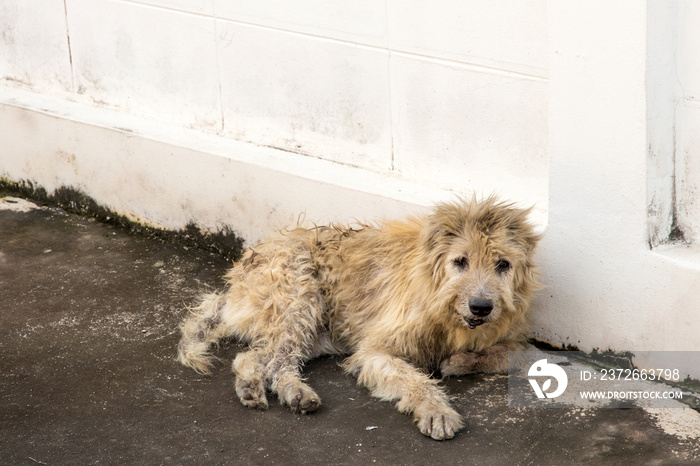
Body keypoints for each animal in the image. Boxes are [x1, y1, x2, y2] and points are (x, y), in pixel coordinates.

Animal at [178, 197, 540, 440]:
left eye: (503, 264)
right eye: (460, 261)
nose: (481, 307)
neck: (441, 303)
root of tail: (233, 286)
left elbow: (519, 354)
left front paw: (461, 361)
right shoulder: (374, 351)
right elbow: (414, 379)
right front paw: (437, 410)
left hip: (316, 333)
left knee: (253, 357)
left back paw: (250, 386)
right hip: (300, 294)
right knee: (278, 363)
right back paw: (295, 392)